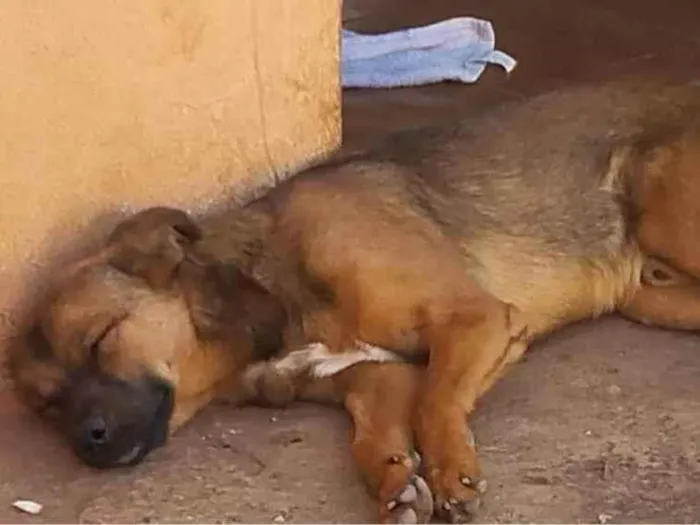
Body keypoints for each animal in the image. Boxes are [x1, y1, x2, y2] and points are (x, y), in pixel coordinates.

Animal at [10, 79, 700, 524]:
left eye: (101, 338)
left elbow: (436, 401)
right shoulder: (374, 379)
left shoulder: (473, 319)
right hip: (651, 296)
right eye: (48, 405)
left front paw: (451, 470)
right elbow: (377, 434)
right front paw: (395, 480)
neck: (267, 298)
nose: (87, 442)